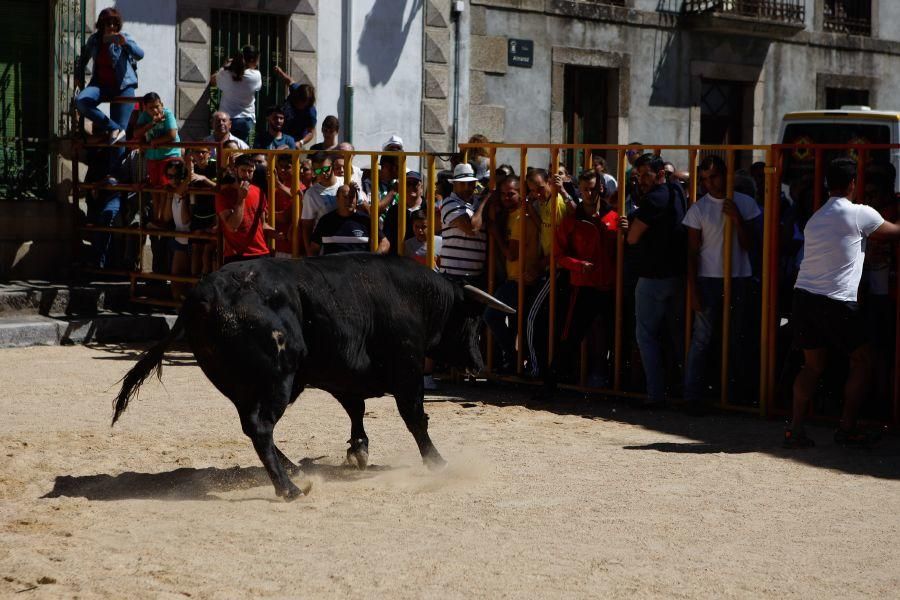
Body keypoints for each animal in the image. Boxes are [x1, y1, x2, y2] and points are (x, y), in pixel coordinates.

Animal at [112, 254, 512, 502]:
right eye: (474, 320)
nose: (479, 363)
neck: (415, 296)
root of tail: (201, 296)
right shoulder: (407, 369)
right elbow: (414, 417)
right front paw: (436, 461)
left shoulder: (344, 375)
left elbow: (356, 409)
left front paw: (359, 450)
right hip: (279, 380)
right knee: (260, 426)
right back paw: (288, 488)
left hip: (244, 386)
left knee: (253, 427)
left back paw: (291, 470)